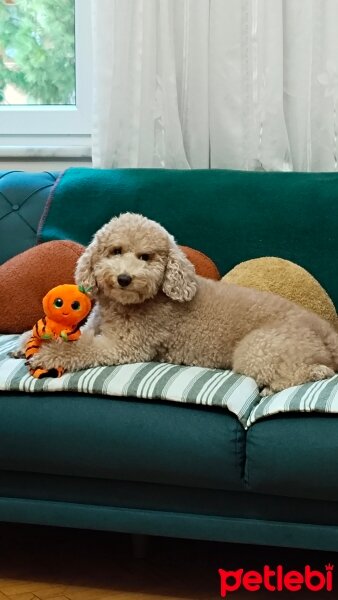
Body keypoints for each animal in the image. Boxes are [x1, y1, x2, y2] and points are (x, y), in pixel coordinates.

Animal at [27, 211, 338, 394]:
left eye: (145, 257)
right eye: (115, 251)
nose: (124, 278)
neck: (125, 305)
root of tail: (325, 331)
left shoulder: (125, 347)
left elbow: (80, 347)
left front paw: (48, 353)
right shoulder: (97, 327)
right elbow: (80, 334)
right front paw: (27, 344)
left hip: (258, 349)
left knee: (307, 373)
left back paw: (295, 380)